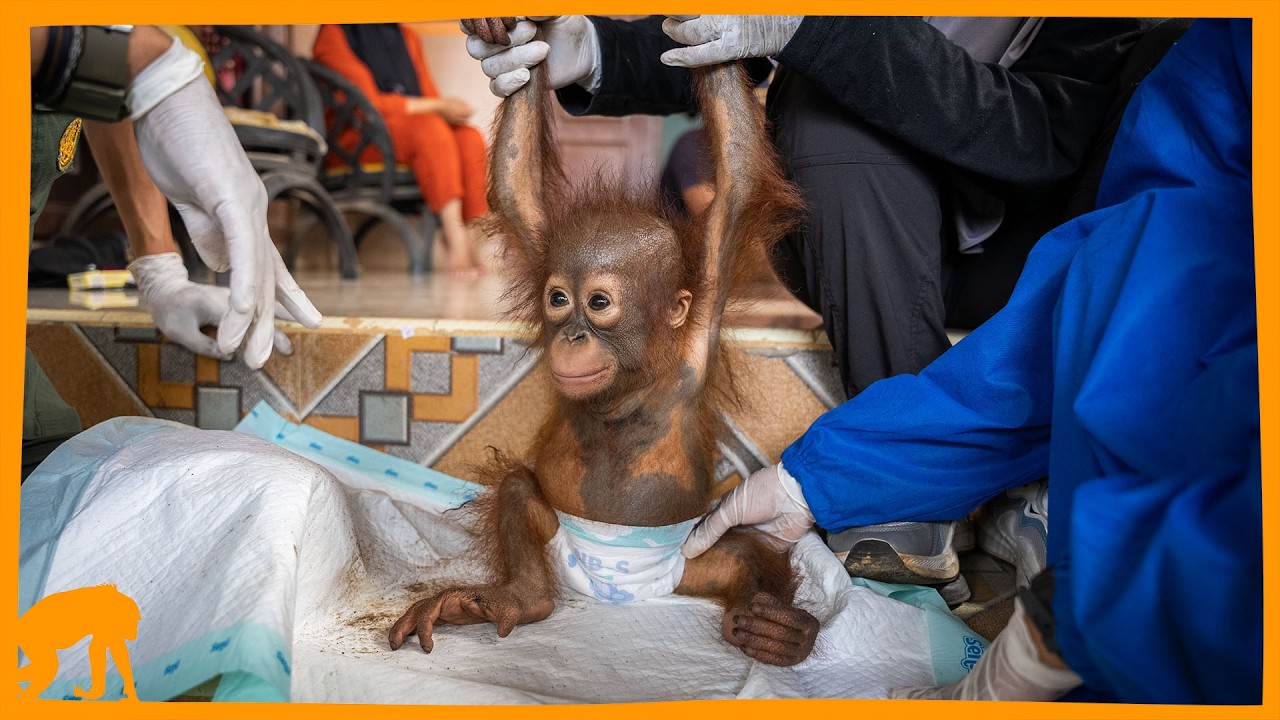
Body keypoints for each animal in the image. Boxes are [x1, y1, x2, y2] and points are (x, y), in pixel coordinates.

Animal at [389, 20, 817, 667]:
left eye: (598, 304)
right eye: (557, 299)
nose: (570, 336)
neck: (631, 385)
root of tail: (612, 591)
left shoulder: (704, 305)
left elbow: (739, 180)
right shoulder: (543, 242)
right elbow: (515, 187)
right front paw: (512, 43)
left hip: (690, 561)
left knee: (743, 555)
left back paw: (775, 630)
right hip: (561, 546)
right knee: (518, 488)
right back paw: (517, 598)